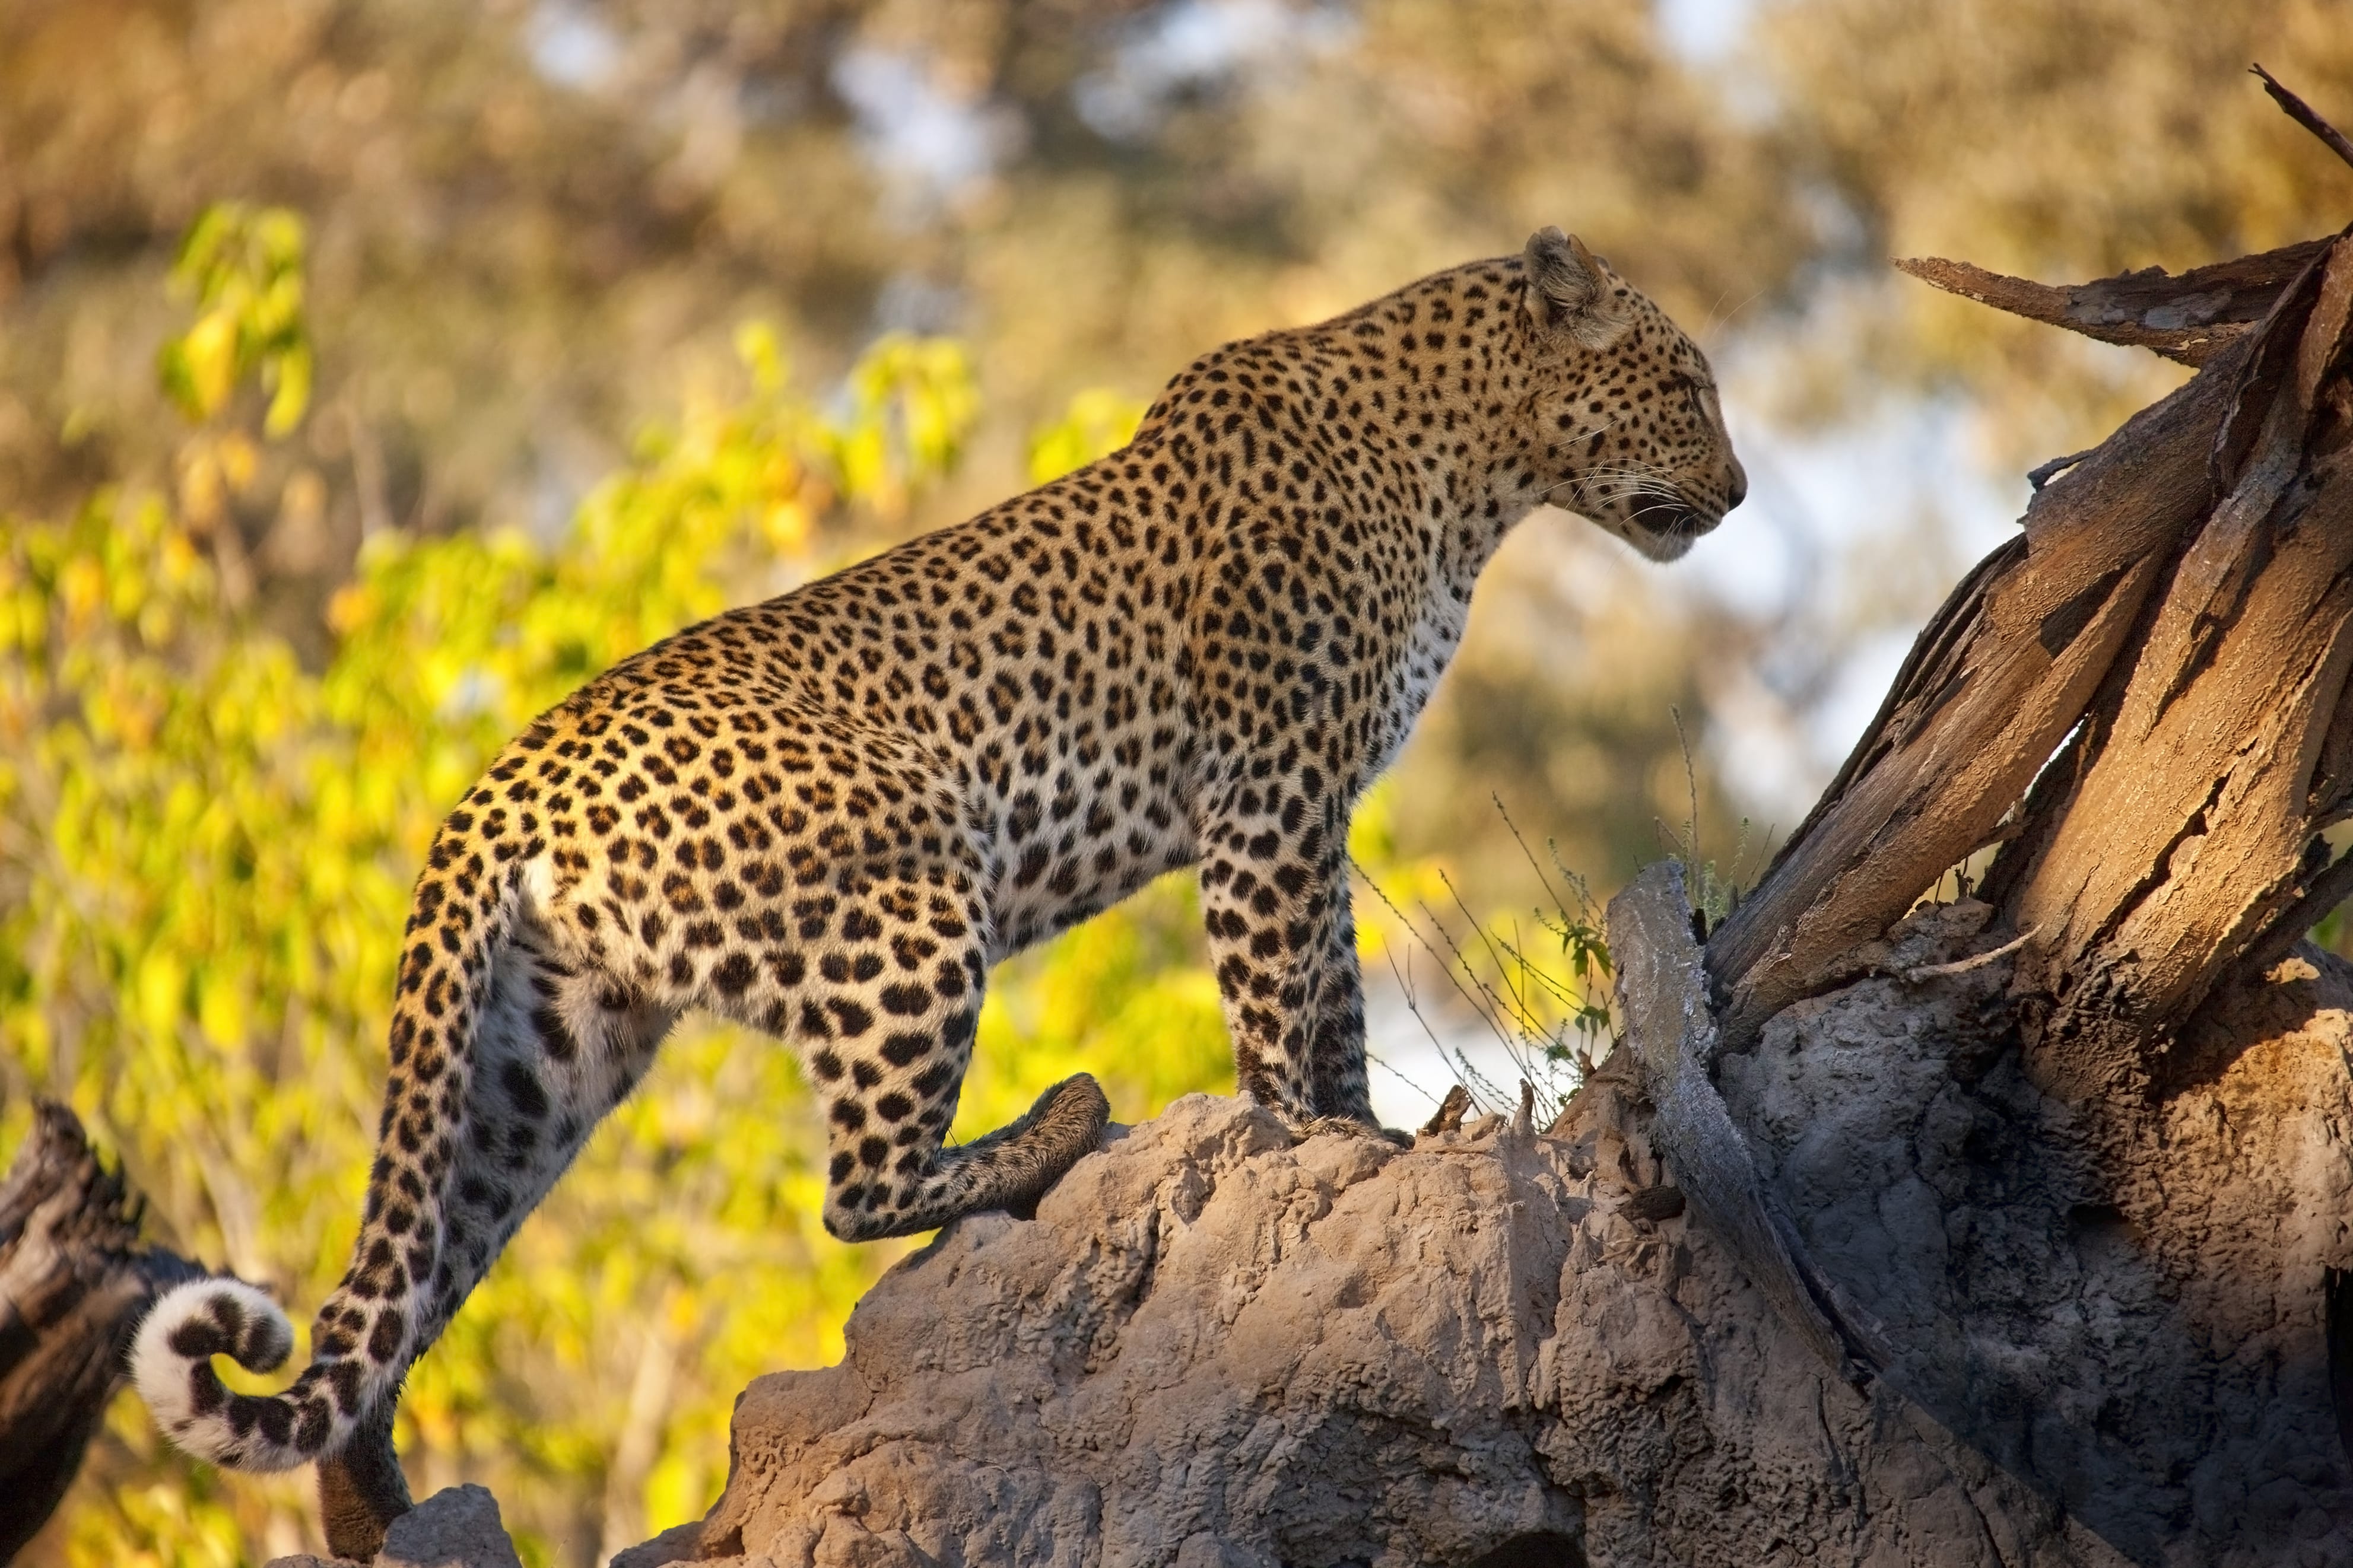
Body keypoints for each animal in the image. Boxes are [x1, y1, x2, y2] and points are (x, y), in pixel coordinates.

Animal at [132, 226, 1743, 1558]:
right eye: (1686, 383)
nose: (1734, 496)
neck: (1468, 472)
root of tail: (497, 783)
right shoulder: (1268, 788)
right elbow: (1280, 998)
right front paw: (1322, 1146)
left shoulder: (1307, 799)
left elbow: (1332, 993)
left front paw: (1375, 1139)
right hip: (917, 876)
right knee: (856, 1186)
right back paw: (1057, 1126)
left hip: (546, 1053)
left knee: (408, 1269)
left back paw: (375, 1506)